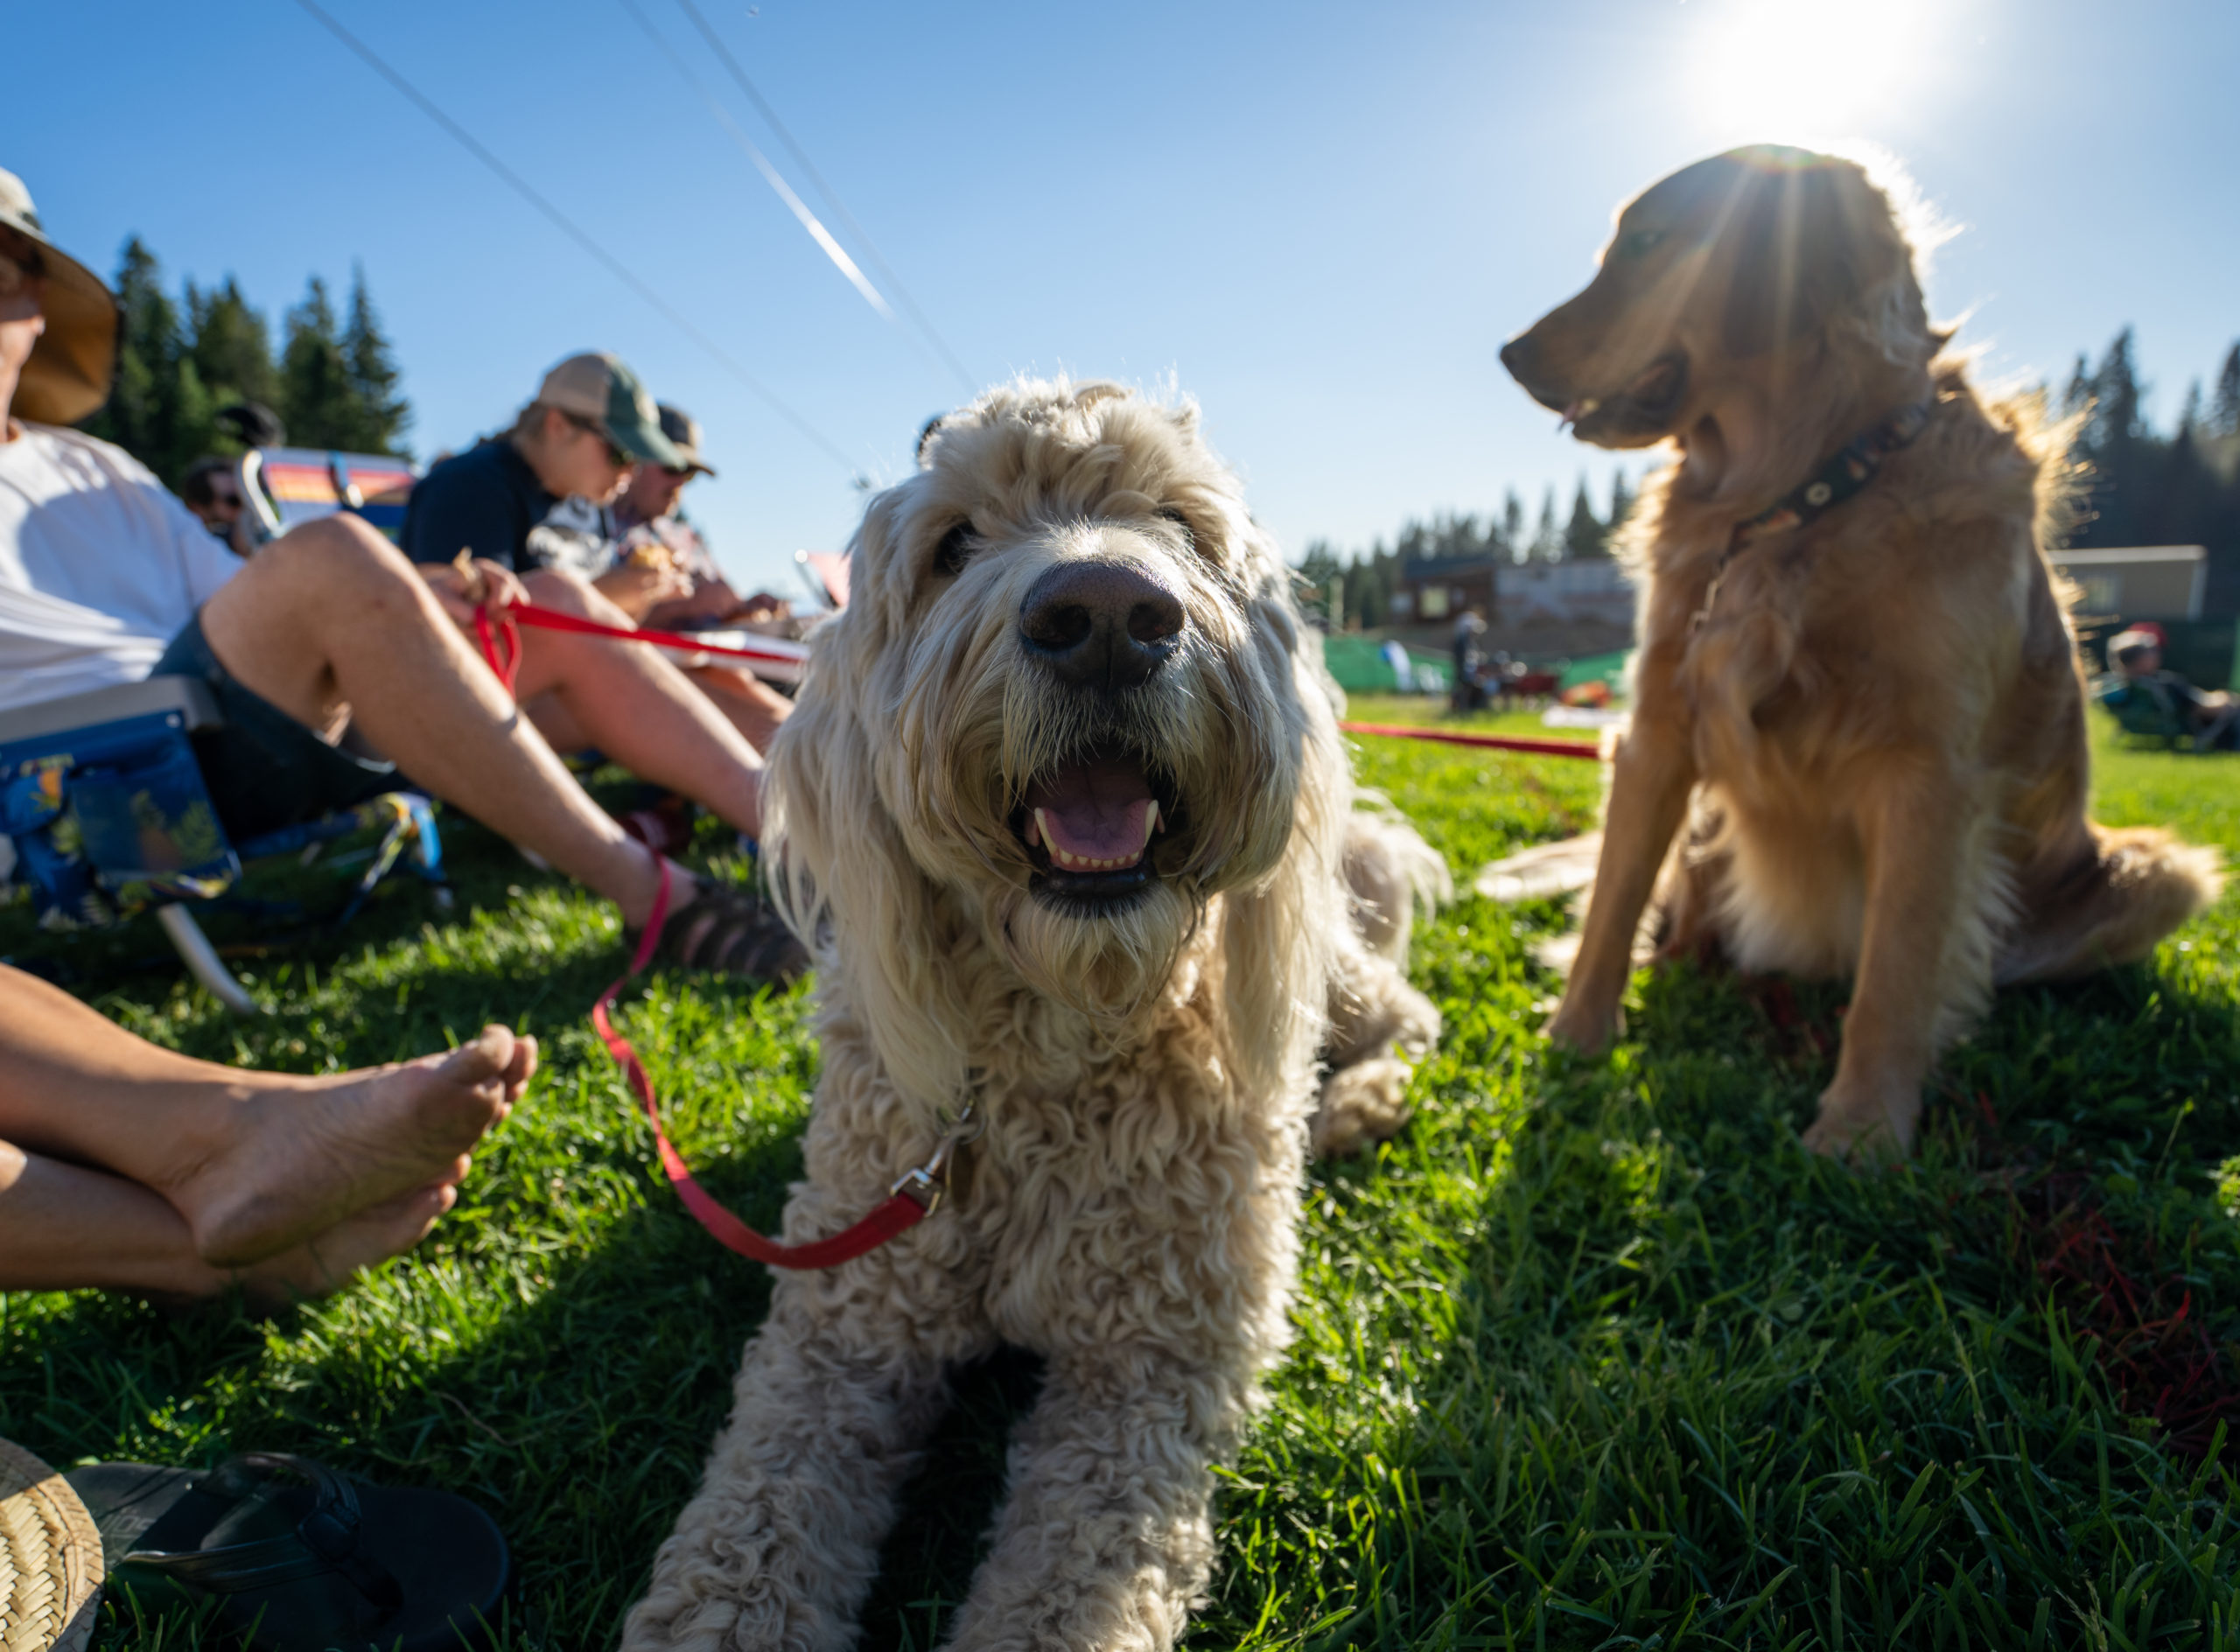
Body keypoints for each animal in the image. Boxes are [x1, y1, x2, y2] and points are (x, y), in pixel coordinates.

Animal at [622, 375, 1442, 1647]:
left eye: (1180, 525)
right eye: (955, 545)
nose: (1105, 612)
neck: (1060, 1039)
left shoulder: (1150, 1369)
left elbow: (1070, 1587)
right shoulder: (844, 1326)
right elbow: (747, 1529)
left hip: (1334, 973)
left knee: (1410, 1017)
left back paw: (1356, 1103)